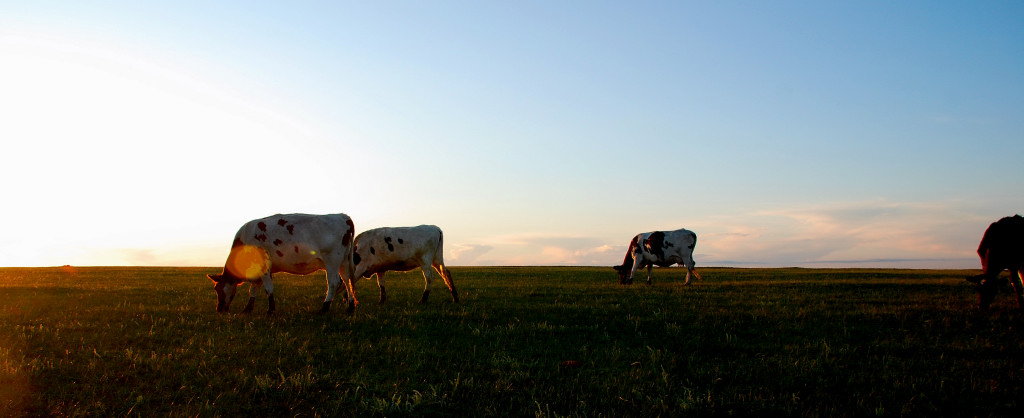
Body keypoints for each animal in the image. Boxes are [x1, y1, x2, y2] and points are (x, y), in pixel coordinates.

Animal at [205, 214, 358, 315]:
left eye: (218, 289)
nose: (219, 309)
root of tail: (342, 216)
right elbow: (254, 288)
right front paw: (248, 309)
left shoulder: (264, 266)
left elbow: (268, 288)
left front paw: (271, 310)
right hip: (343, 261)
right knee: (347, 281)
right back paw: (350, 307)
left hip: (332, 260)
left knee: (334, 282)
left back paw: (324, 308)